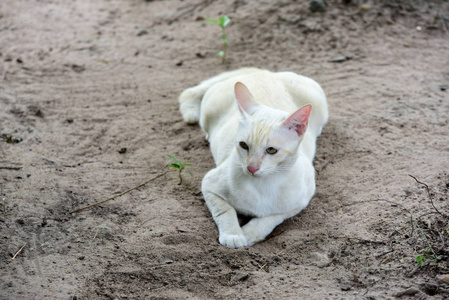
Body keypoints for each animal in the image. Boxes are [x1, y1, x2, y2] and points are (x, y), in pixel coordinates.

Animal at [177, 68, 328, 248]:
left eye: (271, 150)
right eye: (243, 145)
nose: (251, 167)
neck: (263, 186)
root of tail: (262, 71)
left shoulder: (300, 202)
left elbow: (271, 218)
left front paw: (250, 234)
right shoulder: (209, 185)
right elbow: (225, 211)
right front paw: (233, 235)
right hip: (207, 112)